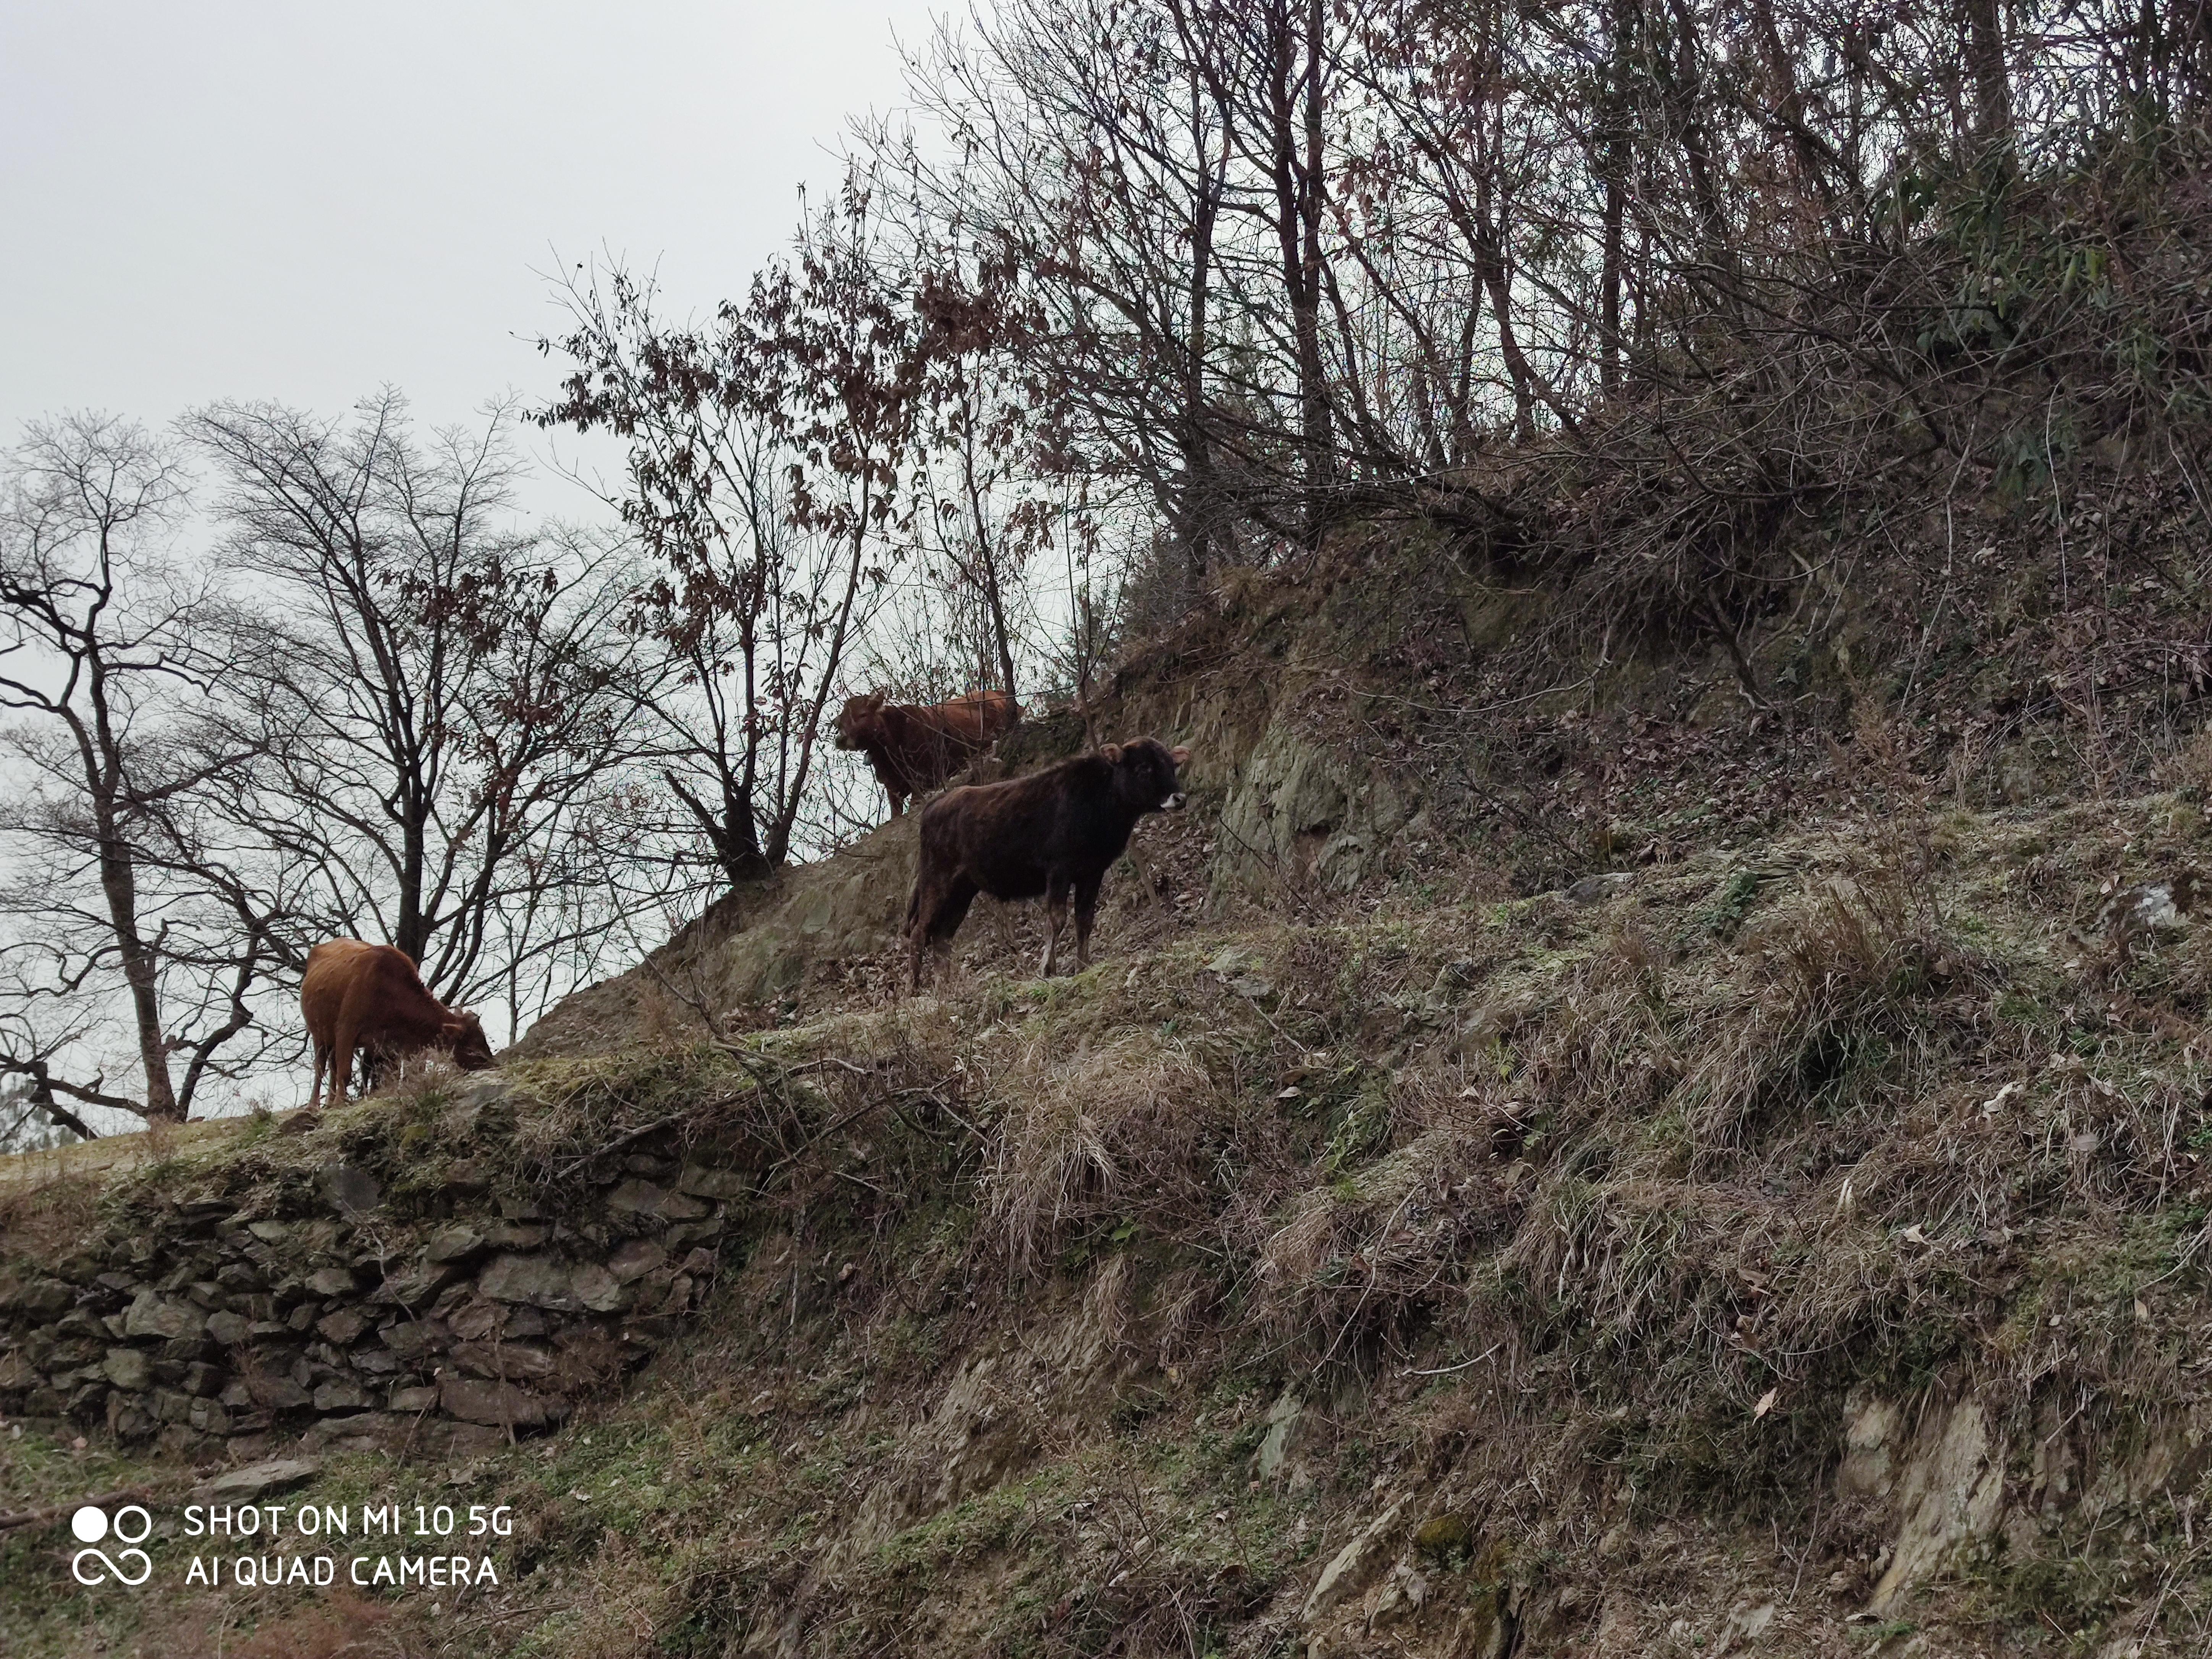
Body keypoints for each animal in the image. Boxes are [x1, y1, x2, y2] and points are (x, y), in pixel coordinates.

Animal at [298, 942, 493, 1110]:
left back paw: (328, 1103)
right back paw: (314, 1106)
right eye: (472, 1050)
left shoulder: (390, 1046)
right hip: (319, 1031)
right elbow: (345, 1072)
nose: (492, 1065)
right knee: (321, 1066)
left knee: (333, 1066)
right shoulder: (347, 1028)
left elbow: (390, 1076)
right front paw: (340, 1103)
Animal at [902, 734, 1194, 995]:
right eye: (1144, 767)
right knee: (920, 931)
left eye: (1172, 765)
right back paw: (913, 989)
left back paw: (944, 990)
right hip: (937, 882)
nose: (1179, 798)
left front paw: (1082, 966)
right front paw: (1047, 968)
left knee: (942, 936)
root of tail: (934, 805)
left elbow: (1084, 920)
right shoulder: (1058, 872)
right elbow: (1056, 919)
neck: (1100, 797)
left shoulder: (1092, 873)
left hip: (963, 889)